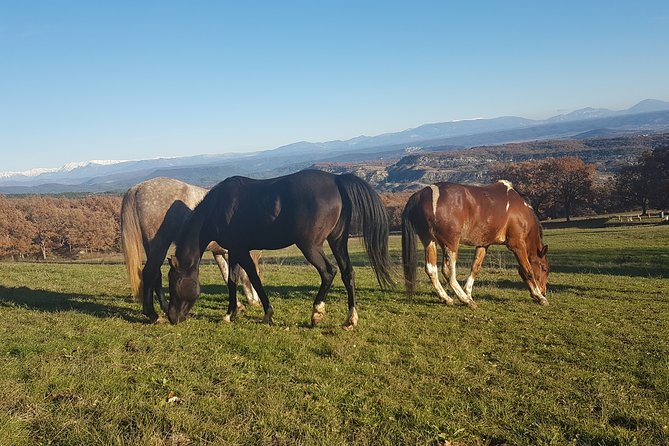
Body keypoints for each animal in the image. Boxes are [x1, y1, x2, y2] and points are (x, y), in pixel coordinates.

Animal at [120, 176, 258, 322]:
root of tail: (137, 188)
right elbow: (246, 275)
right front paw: (253, 300)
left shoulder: (219, 252)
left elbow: (227, 275)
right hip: (160, 243)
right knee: (149, 272)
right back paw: (154, 316)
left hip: (151, 246)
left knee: (156, 275)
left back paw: (164, 307)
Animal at [168, 169, 396, 330]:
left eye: (173, 282)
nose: (171, 317)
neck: (219, 206)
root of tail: (336, 180)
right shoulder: (234, 250)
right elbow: (232, 280)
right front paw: (229, 313)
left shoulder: (241, 250)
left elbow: (253, 279)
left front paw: (267, 313)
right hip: (337, 241)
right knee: (348, 273)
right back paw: (350, 319)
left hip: (310, 246)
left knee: (329, 272)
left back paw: (316, 313)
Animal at [402, 179, 548, 308]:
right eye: (544, 268)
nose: (544, 291)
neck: (519, 210)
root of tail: (421, 194)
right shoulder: (517, 245)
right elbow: (528, 270)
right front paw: (540, 297)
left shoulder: (483, 244)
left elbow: (475, 268)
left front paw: (468, 292)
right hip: (450, 243)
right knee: (448, 271)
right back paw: (465, 301)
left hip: (429, 241)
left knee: (431, 269)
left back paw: (447, 298)